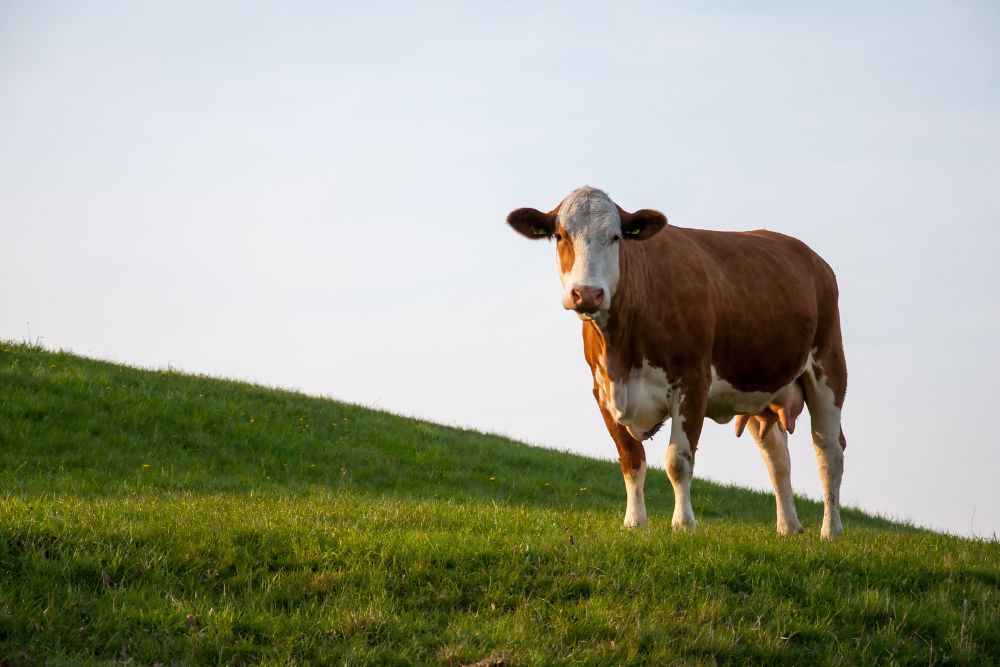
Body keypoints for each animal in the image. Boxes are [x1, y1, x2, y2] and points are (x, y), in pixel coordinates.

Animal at [507, 186, 848, 539]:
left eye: (616, 237)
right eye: (561, 235)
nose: (587, 293)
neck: (621, 353)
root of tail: (813, 258)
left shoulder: (692, 381)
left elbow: (678, 460)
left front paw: (683, 523)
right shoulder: (602, 390)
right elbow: (631, 459)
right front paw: (634, 522)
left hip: (829, 365)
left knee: (829, 450)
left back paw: (831, 531)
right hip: (758, 386)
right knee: (777, 457)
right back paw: (788, 527)